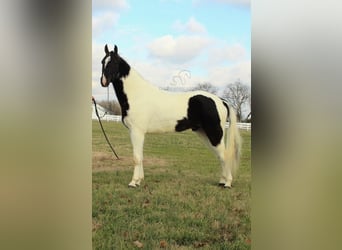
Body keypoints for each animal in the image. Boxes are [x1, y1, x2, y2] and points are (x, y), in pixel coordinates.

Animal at [100, 44, 242, 188]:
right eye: (102, 62)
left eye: (114, 63)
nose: (104, 81)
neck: (137, 94)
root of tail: (221, 100)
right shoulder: (135, 132)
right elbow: (140, 156)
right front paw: (139, 180)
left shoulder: (137, 132)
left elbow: (137, 158)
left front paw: (133, 182)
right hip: (204, 133)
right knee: (220, 156)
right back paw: (222, 181)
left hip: (214, 133)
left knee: (224, 155)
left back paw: (227, 183)